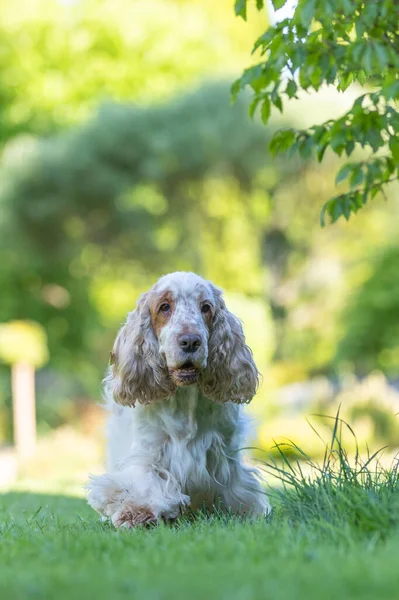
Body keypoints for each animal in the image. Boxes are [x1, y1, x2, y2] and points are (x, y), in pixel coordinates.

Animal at [86, 270, 270, 528]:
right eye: (165, 307)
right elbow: (143, 485)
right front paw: (136, 513)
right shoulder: (148, 451)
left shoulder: (225, 454)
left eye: (206, 307)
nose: (190, 341)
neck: (184, 399)